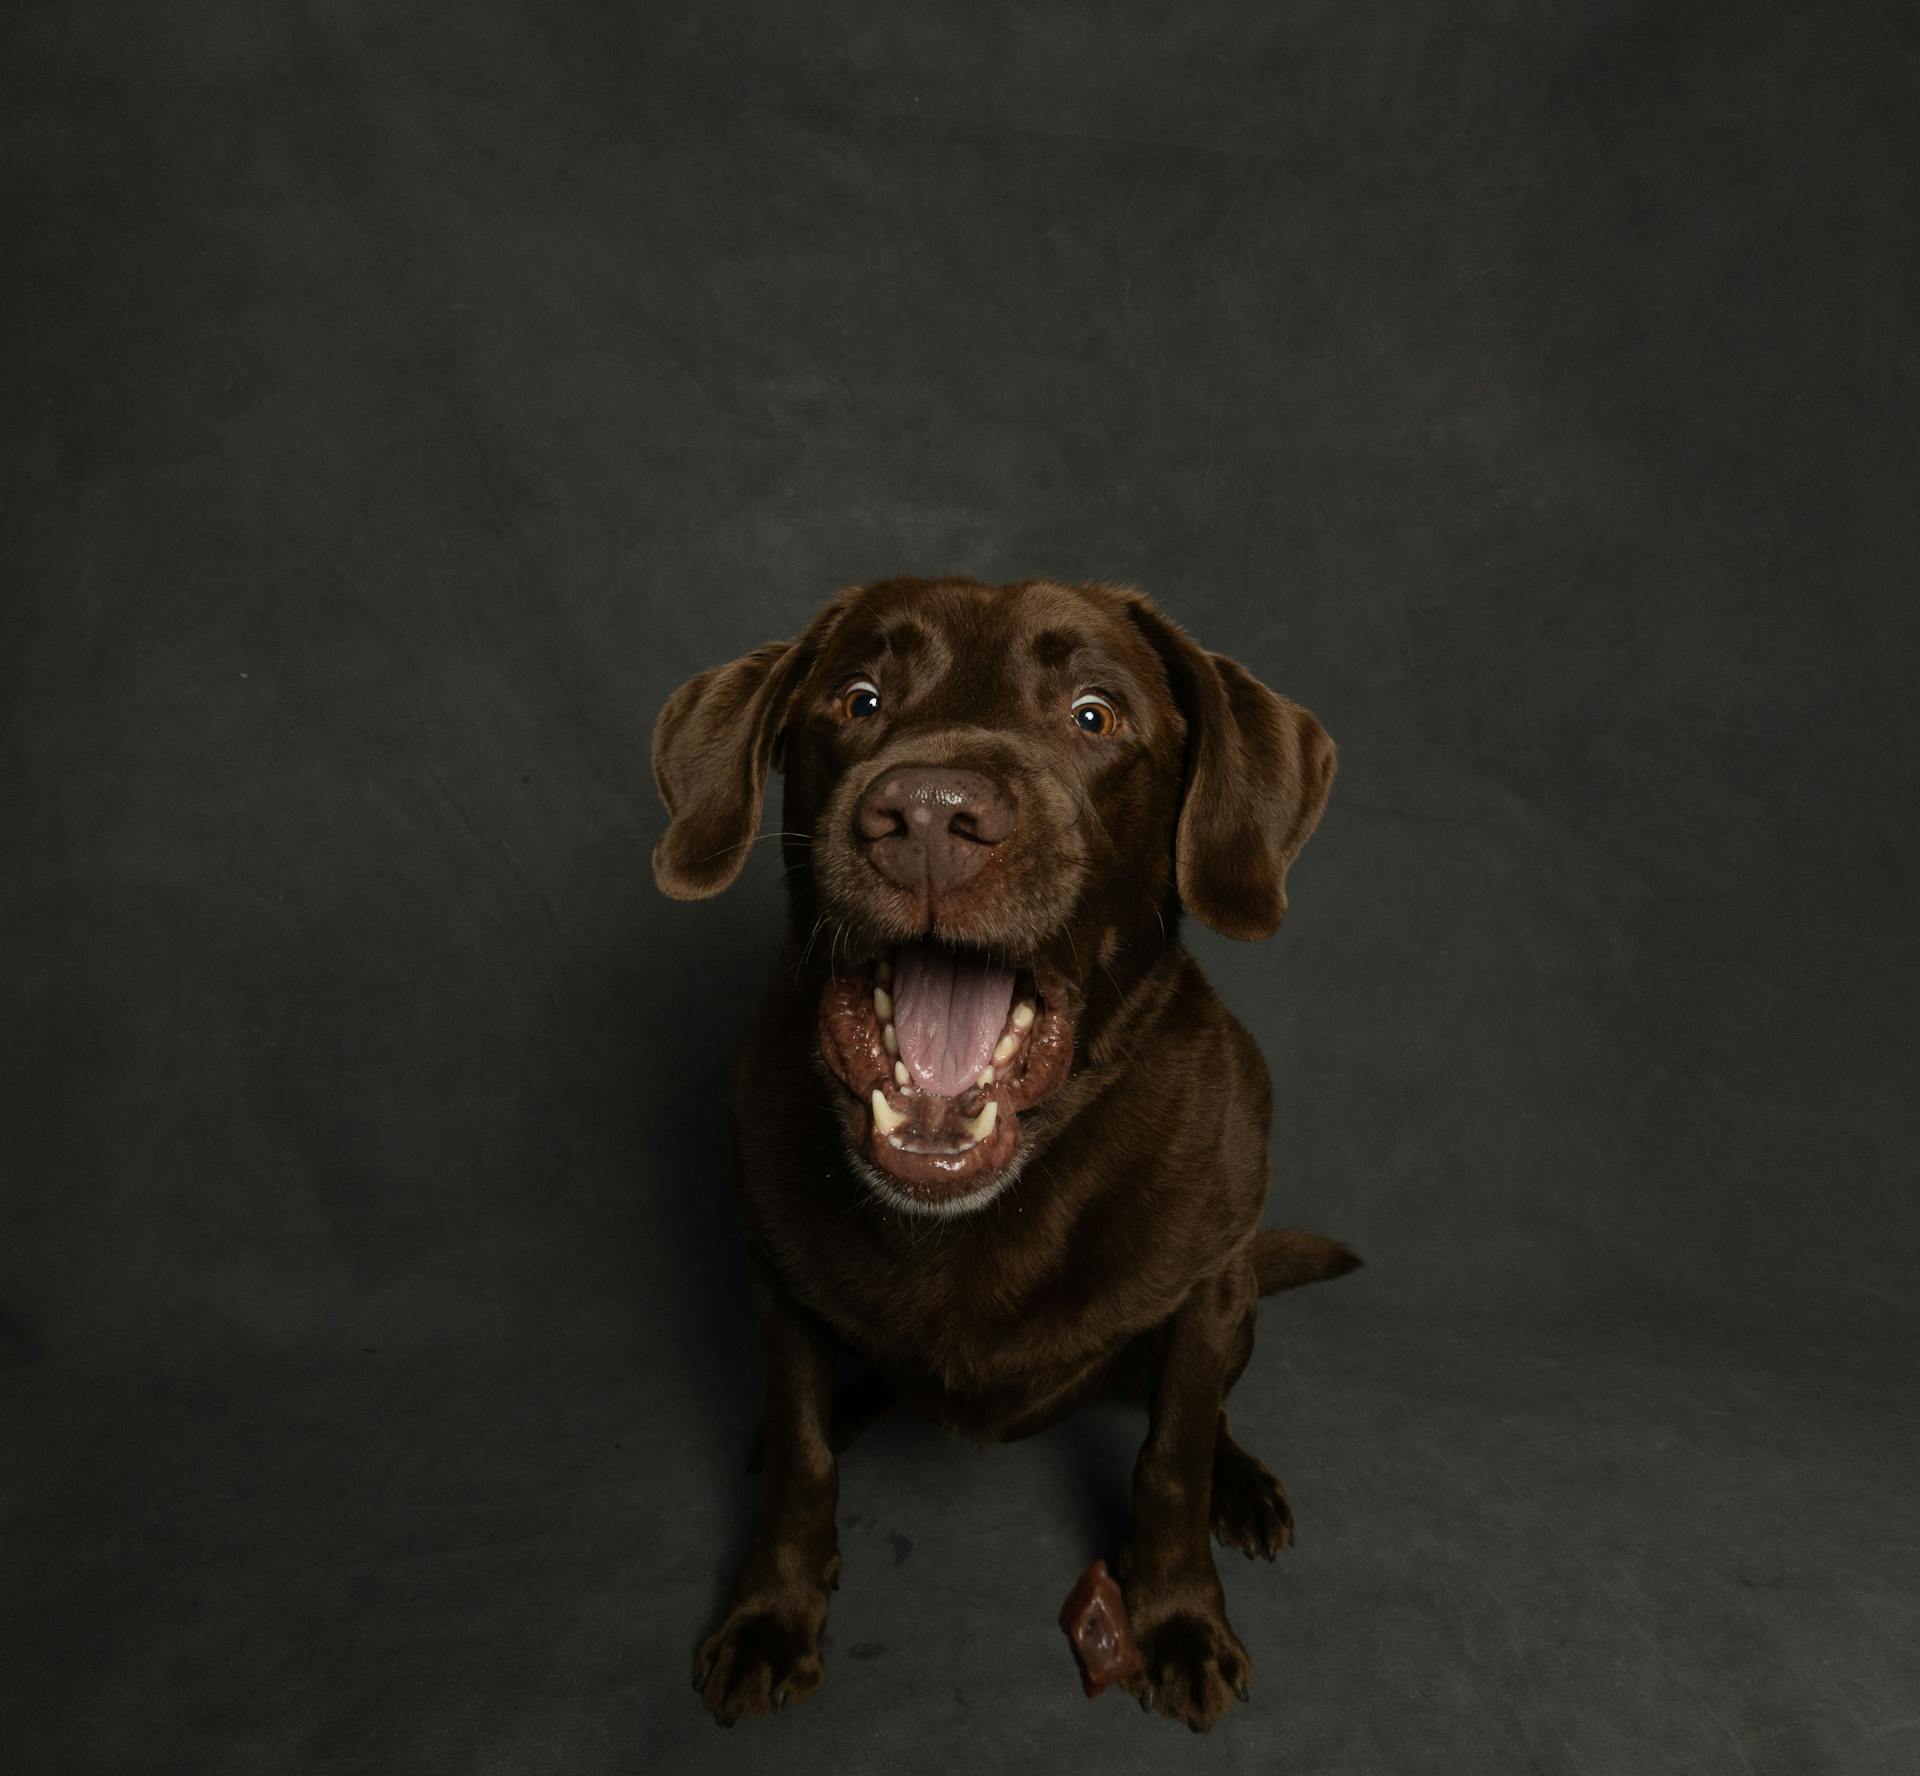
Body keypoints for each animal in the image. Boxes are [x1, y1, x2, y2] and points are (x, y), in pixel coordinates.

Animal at [652, 576, 1359, 1728]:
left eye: (1093, 715)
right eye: (859, 699)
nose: (931, 816)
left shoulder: (1209, 1288)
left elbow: (1172, 1455)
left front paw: (1174, 1616)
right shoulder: (778, 1284)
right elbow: (803, 1460)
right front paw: (773, 1609)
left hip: (1244, 1296)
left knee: (1209, 1414)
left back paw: (1241, 1483)